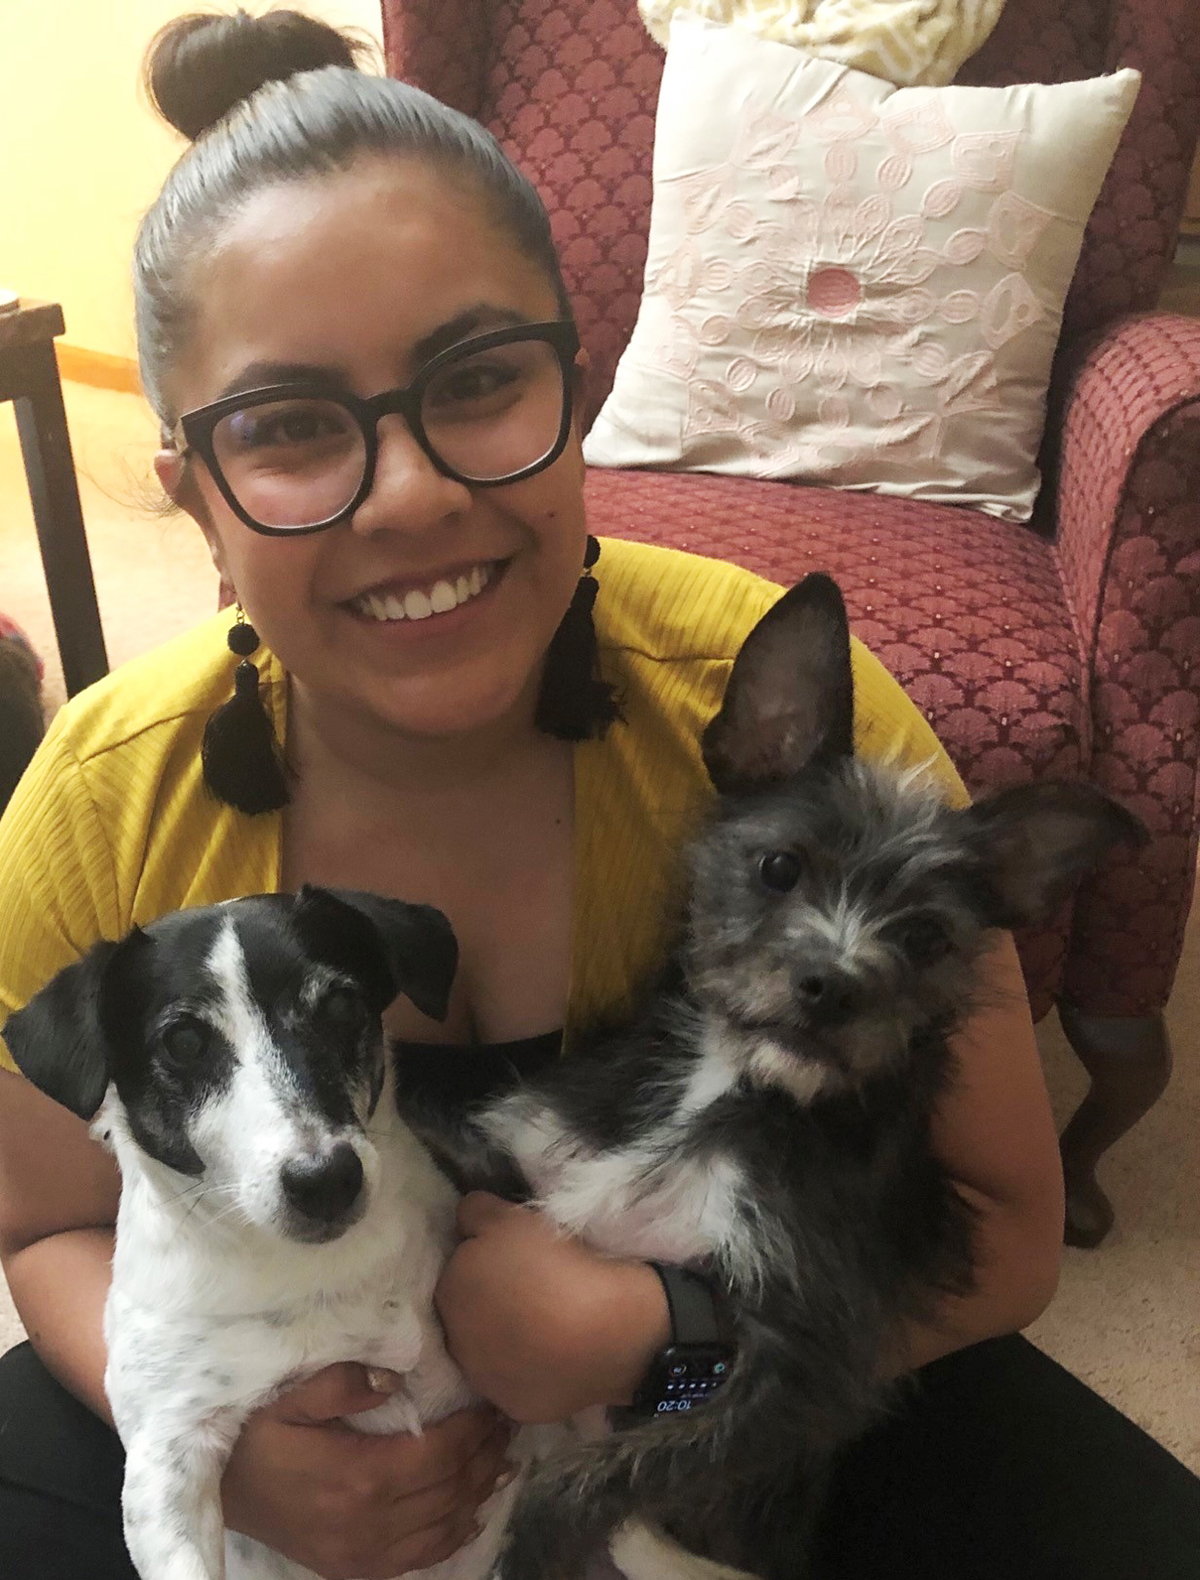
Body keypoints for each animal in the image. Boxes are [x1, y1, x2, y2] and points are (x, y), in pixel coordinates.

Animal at [414, 575, 1157, 1580]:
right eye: (778, 867)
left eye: (926, 936)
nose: (833, 987)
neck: (731, 1084)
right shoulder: (528, 1161)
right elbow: (437, 1145)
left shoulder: (802, 1370)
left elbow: (604, 1472)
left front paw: (535, 1544)